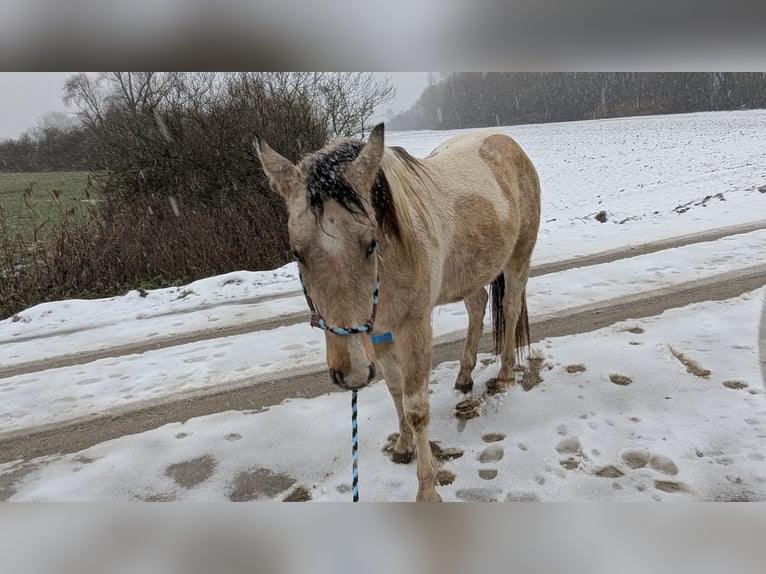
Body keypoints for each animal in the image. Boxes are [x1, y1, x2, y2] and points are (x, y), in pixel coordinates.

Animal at [256, 124, 540, 502]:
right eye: (297, 253)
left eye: (370, 243)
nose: (352, 375)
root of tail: (506, 141)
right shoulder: (378, 331)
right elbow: (394, 390)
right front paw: (403, 447)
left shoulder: (413, 329)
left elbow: (416, 407)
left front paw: (427, 492)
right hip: (469, 274)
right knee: (477, 305)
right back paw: (464, 377)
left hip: (518, 259)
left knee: (509, 310)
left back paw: (505, 375)